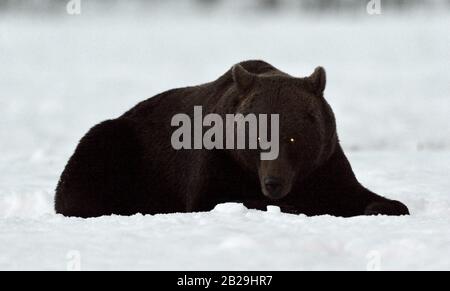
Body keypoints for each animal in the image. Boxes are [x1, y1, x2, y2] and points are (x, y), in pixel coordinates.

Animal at [54, 60, 410, 218]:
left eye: (293, 139)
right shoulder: (215, 162)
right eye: (259, 137)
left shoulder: (324, 162)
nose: (273, 183)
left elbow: (353, 193)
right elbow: (213, 198)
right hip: (119, 146)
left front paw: (388, 205)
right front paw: (288, 206)